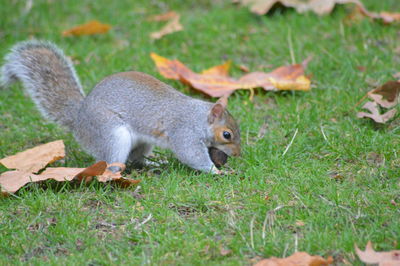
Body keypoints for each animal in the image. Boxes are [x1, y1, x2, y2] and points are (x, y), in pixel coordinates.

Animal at [0, 39, 241, 172]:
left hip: (142, 142)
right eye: (227, 134)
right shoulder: (184, 132)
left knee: (136, 158)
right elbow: (191, 154)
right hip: (111, 134)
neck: (199, 118)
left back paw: (154, 165)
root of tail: (78, 120)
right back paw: (116, 175)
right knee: (110, 162)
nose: (238, 154)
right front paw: (216, 171)